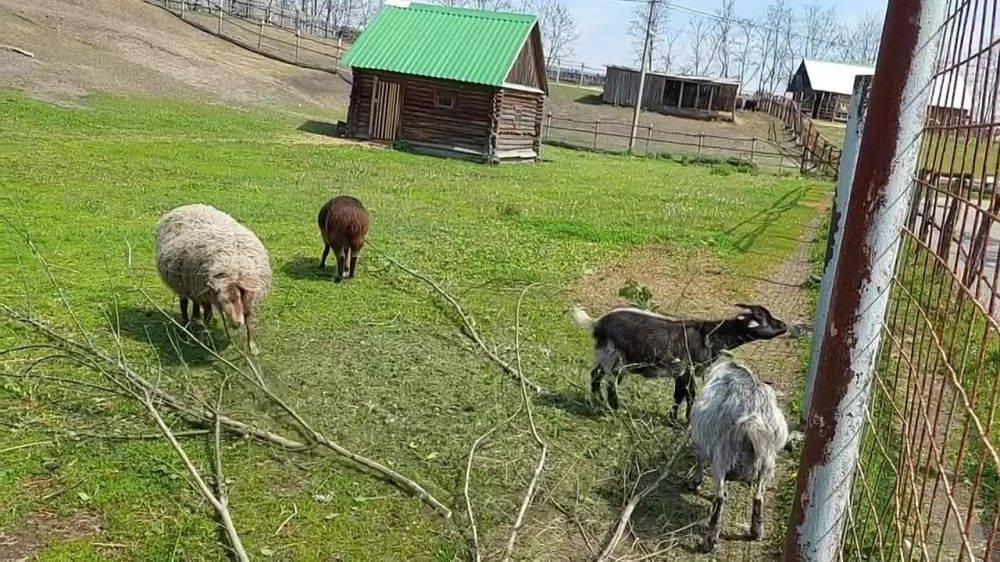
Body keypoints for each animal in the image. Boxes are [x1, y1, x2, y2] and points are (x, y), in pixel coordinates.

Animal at [153, 203, 272, 352]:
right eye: (223, 301)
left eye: (237, 298)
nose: (236, 324)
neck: (231, 272)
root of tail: (190, 205)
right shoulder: (207, 293)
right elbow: (208, 314)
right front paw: (207, 339)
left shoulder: (246, 295)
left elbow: (248, 317)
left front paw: (251, 346)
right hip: (183, 283)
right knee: (184, 304)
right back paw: (186, 326)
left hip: (193, 284)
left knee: (195, 302)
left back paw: (195, 318)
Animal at [572, 304, 788, 418]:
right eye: (761, 316)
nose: (784, 324)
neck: (709, 335)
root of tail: (597, 323)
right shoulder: (689, 369)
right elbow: (689, 395)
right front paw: (684, 420)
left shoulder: (681, 373)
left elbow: (680, 395)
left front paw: (675, 418)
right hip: (616, 358)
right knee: (610, 383)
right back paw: (615, 408)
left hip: (604, 356)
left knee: (595, 375)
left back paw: (597, 402)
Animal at [688, 358, 788, 552]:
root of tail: (752, 420)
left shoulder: (702, 445)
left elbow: (699, 460)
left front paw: (696, 483)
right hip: (767, 462)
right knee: (759, 496)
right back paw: (756, 531)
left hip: (721, 459)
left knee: (720, 498)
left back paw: (711, 539)